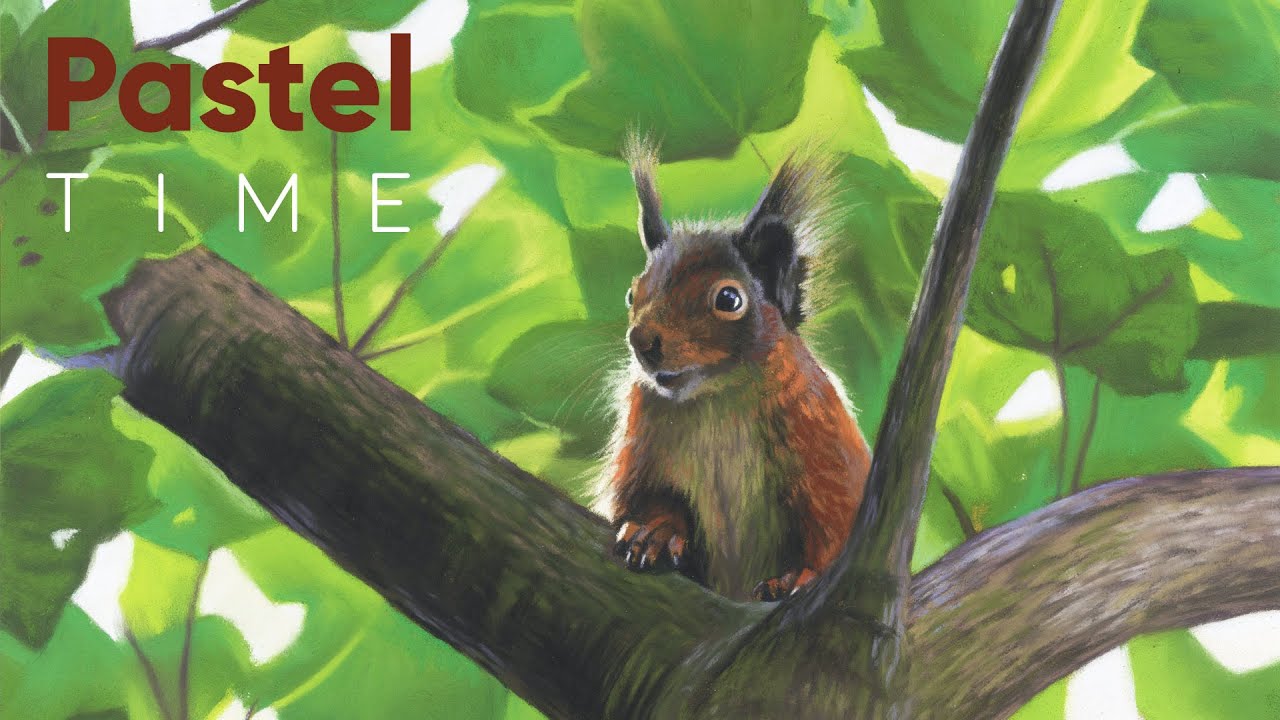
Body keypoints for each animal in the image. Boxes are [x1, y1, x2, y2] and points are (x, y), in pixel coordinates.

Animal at [596, 138, 872, 602]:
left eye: (729, 299)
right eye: (632, 294)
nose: (642, 342)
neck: (719, 396)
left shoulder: (824, 444)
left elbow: (833, 527)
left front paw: (802, 576)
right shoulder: (642, 443)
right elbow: (645, 499)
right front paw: (655, 532)